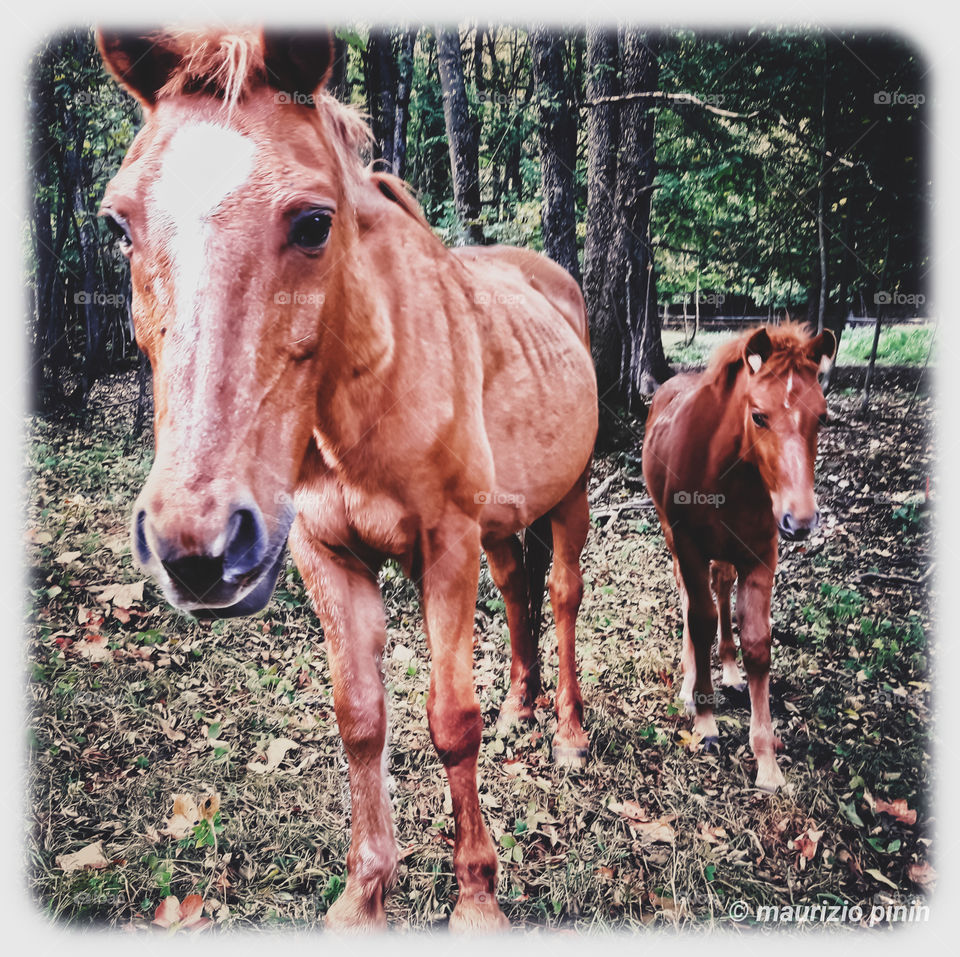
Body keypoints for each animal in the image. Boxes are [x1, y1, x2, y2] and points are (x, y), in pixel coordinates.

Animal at [96, 29, 598, 931]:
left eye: (314, 222)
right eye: (118, 225)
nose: (195, 542)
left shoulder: (446, 545)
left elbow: (449, 720)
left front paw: (477, 896)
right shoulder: (325, 553)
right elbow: (361, 718)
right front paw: (365, 895)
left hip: (567, 498)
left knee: (565, 594)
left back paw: (570, 734)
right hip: (502, 524)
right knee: (519, 590)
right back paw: (522, 710)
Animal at [642, 324, 835, 791]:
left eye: (822, 417)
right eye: (759, 415)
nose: (801, 520)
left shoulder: (761, 555)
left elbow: (757, 644)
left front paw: (767, 761)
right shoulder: (690, 546)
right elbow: (699, 620)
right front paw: (705, 721)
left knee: (722, 584)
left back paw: (729, 670)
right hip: (673, 537)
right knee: (690, 599)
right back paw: (689, 684)